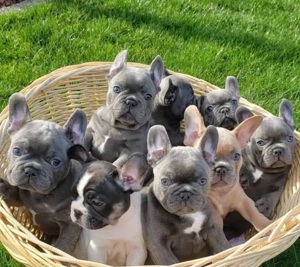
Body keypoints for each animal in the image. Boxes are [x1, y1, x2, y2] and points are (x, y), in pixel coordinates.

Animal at [1, 93, 87, 254]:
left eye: (55, 162)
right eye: (17, 151)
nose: (31, 170)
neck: (39, 196)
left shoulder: (70, 225)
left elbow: (63, 246)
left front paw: (58, 253)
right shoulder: (22, 199)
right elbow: (14, 194)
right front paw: (4, 188)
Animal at [142, 124, 231, 266]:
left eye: (202, 181)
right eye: (165, 181)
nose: (185, 193)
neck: (189, 216)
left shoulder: (213, 229)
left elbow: (223, 247)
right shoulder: (159, 245)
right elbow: (170, 261)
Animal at [183, 105, 272, 238]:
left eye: (236, 156)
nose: (221, 168)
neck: (220, 192)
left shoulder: (243, 201)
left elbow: (254, 213)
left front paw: (268, 226)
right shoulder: (212, 212)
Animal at [223, 99, 296, 240]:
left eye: (289, 138)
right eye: (261, 143)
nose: (278, 150)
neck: (262, 169)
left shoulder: (280, 184)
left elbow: (274, 194)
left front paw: (265, 206)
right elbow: (240, 164)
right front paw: (242, 176)